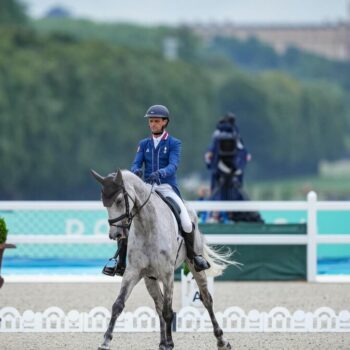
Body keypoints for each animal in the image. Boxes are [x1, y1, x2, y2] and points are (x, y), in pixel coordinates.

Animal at [91, 170, 235, 350]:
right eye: (104, 203)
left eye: (118, 200)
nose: (115, 234)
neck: (147, 227)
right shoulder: (133, 272)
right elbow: (118, 304)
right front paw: (105, 342)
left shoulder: (168, 274)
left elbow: (168, 311)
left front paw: (170, 344)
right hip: (149, 278)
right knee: (159, 305)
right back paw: (162, 342)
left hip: (194, 267)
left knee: (206, 299)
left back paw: (221, 340)